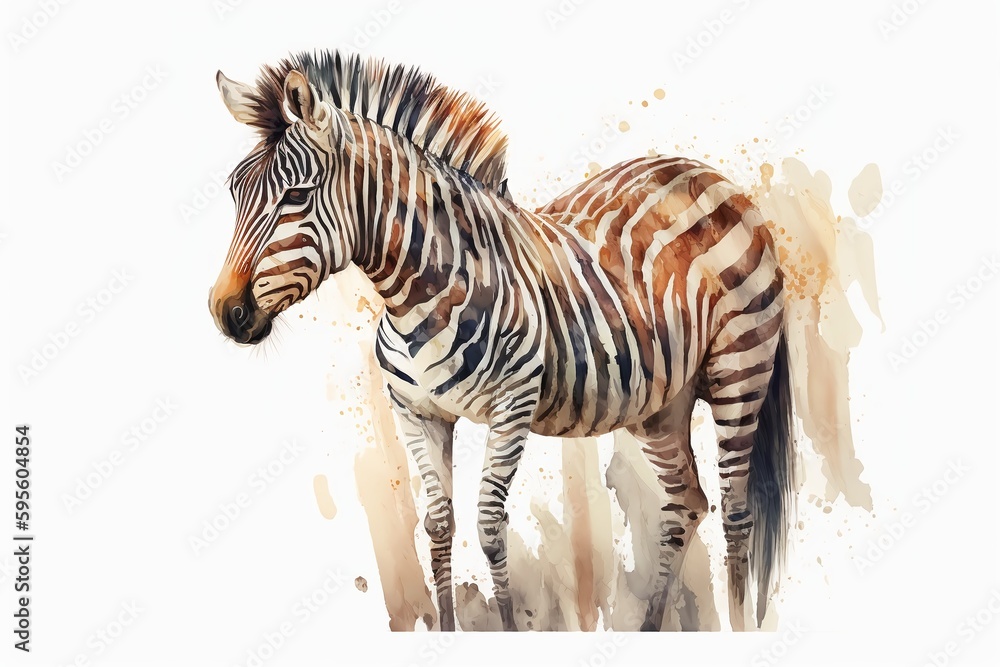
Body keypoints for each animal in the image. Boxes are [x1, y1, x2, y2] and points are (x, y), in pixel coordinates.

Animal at [208, 50, 796, 632]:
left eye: (296, 196)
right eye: (235, 191)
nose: (225, 312)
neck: (417, 293)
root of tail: (709, 175)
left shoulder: (512, 406)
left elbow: (490, 527)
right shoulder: (415, 411)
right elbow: (438, 525)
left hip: (740, 369)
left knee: (735, 510)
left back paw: (740, 623)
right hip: (662, 403)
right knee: (687, 503)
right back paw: (652, 627)